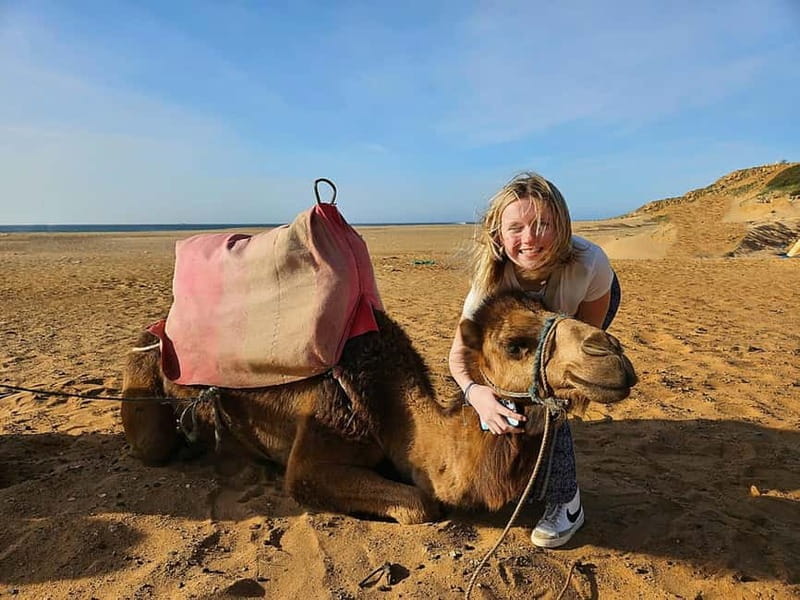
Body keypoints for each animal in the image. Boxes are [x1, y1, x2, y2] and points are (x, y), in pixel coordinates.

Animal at [121, 290, 636, 524]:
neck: (388, 406)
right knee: (153, 443)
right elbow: (422, 503)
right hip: (143, 366)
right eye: (515, 345)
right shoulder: (316, 446)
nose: (612, 353)